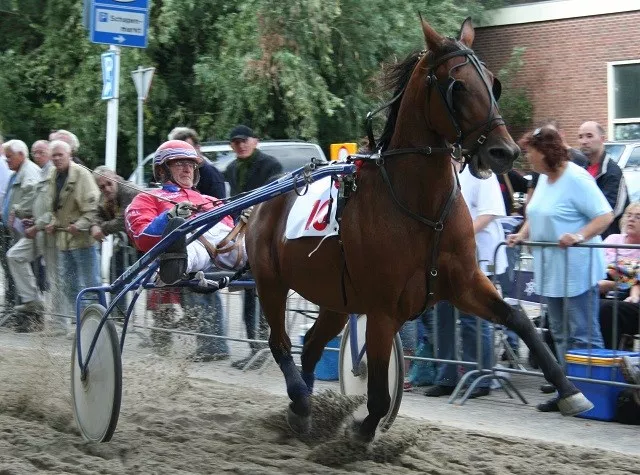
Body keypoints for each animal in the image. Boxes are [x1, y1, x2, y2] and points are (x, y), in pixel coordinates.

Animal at [244, 17, 592, 442]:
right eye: (458, 86)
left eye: (493, 83)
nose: (504, 152)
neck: (420, 209)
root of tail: (265, 195)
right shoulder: (381, 309)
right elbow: (378, 394)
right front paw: (361, 432)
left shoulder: (464, 283)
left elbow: (519, 319)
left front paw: (569, 391)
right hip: (271, 283)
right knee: (280, 343)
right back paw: (300, 399)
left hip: (335, 299)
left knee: (309, 346)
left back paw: (303, 410)